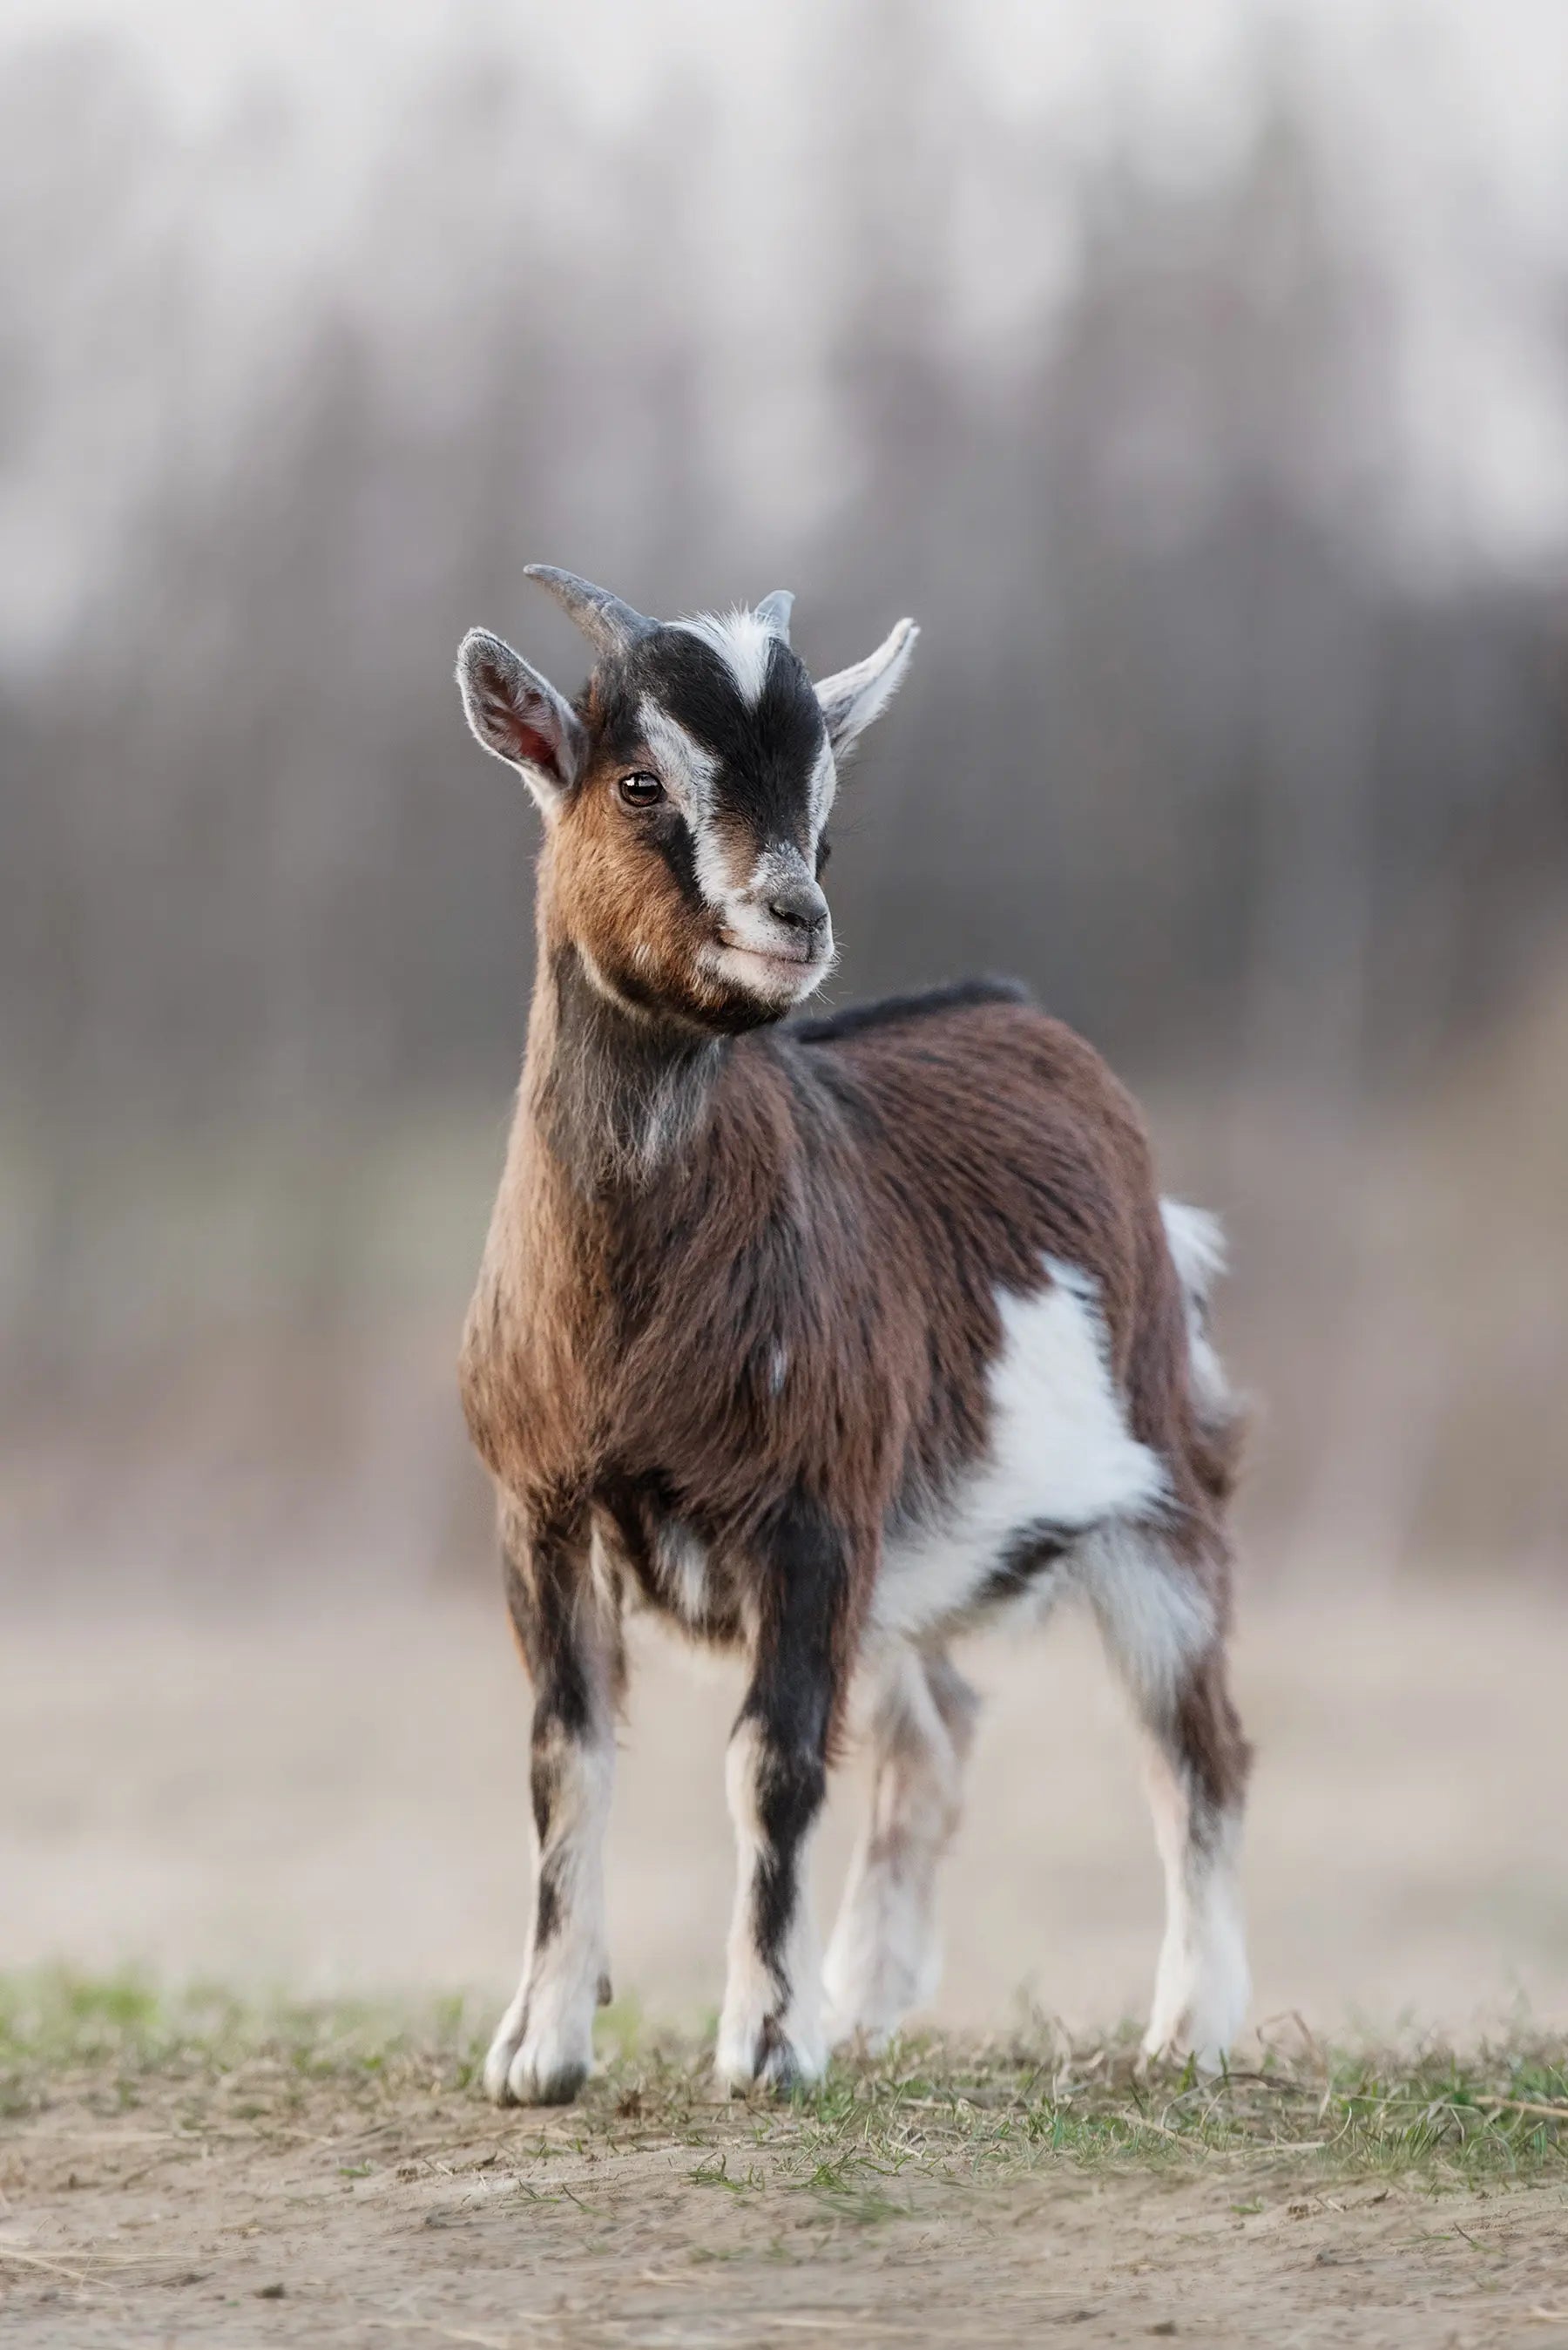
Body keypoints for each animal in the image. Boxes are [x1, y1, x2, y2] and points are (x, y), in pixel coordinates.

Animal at [453, 568, 1251, 2104]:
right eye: (642, 779)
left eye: (827, 806)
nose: (794, 914)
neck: (631, 1327)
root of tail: (1027, 1019)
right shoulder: (541, 1505)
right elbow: (562, 1757)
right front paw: (540, 2046)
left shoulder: (812, 1506)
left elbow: (772, 1763)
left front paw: (764, 2046)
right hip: (916, 1555)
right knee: (934, 1734)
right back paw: (869, 1998)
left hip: (1157, 1490)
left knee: (1196, 1742)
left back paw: (1194, 2027)